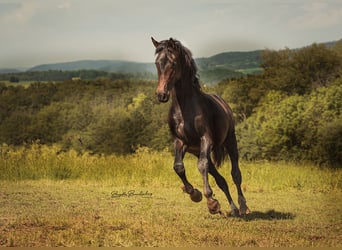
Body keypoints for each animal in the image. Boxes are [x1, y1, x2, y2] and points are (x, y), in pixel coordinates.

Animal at [151, 37, 250, 217]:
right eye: (157, 63)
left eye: (173, 63)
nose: (161, 95)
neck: (184, 108)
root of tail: (223, 102)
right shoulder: (181, 142)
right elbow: (178, 167)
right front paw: (194, 194)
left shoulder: (206, 139)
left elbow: (201, 166)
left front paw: (211, 201)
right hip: (199, 151)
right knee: (221, 179)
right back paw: (233, 209)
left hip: (230, 141)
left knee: (235, 174)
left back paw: (243, 206)